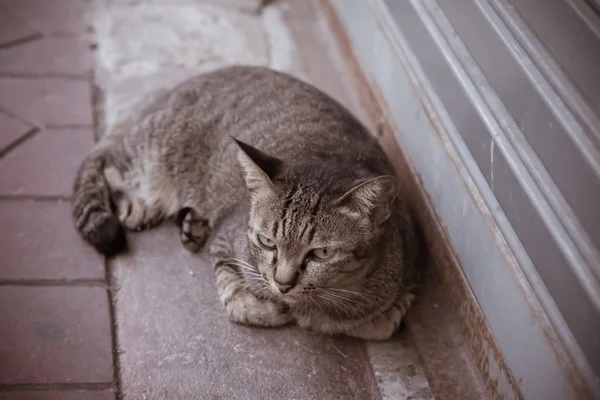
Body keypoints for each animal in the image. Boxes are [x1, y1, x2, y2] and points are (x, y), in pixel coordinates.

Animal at [72, 65, 420, 340]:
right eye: (267, 242)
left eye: (321, 254)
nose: (283, 283)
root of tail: (166, 91)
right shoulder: (227, 245)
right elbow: (237, 297)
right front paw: (271, 308)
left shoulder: (407, 270)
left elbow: (380, 323)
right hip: (150, 154)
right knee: (106, 164)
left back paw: (192, 224)